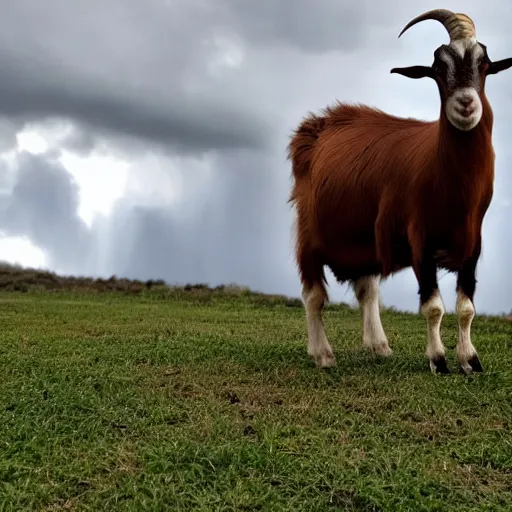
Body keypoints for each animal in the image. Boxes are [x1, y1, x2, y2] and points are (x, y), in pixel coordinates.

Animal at [288, 9, 512, 376]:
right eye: (437, 69)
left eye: (485, 64)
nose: (466, 105)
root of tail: (318, 124)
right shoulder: (419, 238)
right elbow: (433, 306)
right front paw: (438, 360)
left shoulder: (473, 242)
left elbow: (466, 307)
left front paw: (470, 360)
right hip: (309, 234)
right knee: (313, 296)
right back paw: (322, 353)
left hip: (364, 239)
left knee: (367, 289)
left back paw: (379, 346)